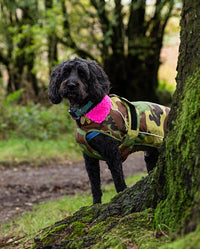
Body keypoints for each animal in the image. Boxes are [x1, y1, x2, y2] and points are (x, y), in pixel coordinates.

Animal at [48, 57, 169, 204]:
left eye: (82, 74)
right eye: (65, 73)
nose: (71, 85)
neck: (87, 111)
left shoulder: (112, 153)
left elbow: (118, 181)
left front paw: (121, 196)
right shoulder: (89, 158)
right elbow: (95, 185)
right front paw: (96, 205)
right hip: (151, 156)